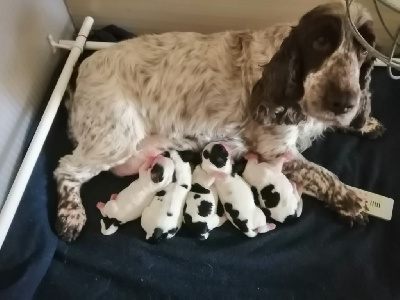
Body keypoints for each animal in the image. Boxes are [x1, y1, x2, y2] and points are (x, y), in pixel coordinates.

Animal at [55, 1, 384, 241]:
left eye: (363, 51)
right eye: (320, 42)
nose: (342, 101)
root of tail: (82, 69)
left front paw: (365, 121)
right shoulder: (276, 150)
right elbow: (324, 174)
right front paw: (351, 202)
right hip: (115, 138)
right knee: (66, 169)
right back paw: (70, 216)